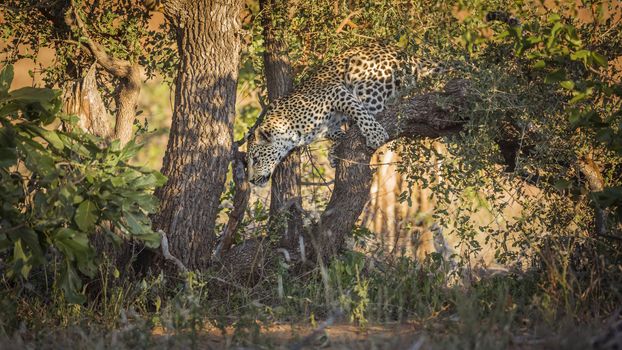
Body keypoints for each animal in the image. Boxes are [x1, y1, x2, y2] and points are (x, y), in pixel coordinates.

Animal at [246, 41, 442, 186]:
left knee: (374, 111)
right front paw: (335, 149)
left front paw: (374, 135)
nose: (251, 181)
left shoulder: (335, 92)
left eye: (255, 160)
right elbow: (338, 133)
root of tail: (407, 53)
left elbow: (357, 111)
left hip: (366, 83)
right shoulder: (327, 128)